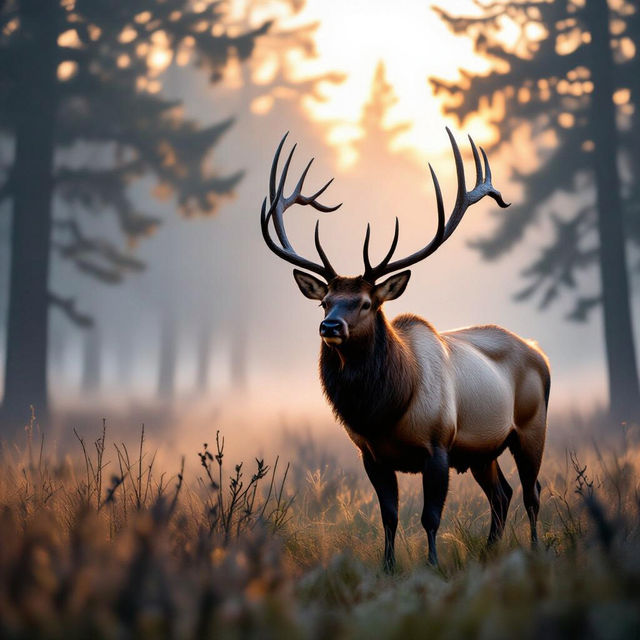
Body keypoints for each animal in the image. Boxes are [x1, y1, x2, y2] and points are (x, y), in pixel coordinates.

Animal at [259, 129, 550, 571]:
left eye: (366, 302)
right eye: (325, 301)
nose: (330, 327)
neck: (385, 410)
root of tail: (538, 352)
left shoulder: (438, 446)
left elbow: (430, 517)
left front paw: (431, 566)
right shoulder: (372, 455)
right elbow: (389, 516)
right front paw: (388, 567)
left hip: (531, 427)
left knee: (532, 493)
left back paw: (533, 550)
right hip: (482, 450)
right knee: (502, 494)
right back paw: (488, 551)